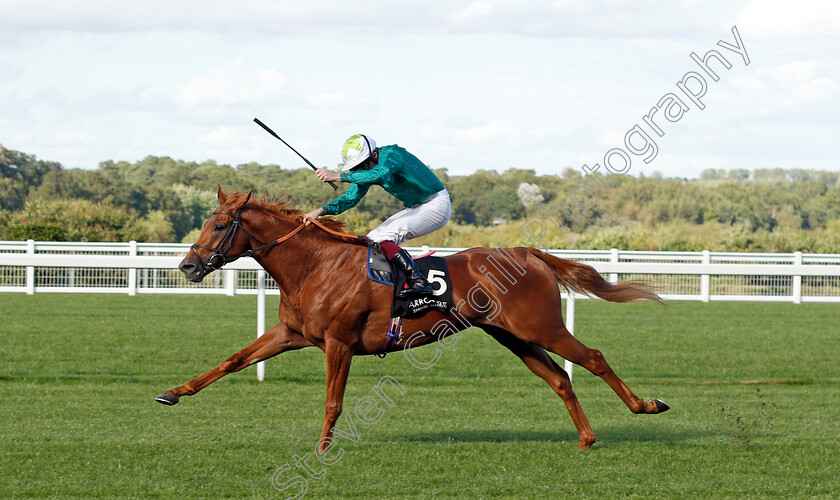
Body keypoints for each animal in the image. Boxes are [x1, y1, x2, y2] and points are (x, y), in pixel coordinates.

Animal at [158, 189, 668, 452]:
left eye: (219, 225)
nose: (187, 266)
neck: (316, 264)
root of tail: (529, 252)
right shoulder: (291, 334)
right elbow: (232, 361)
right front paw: (173, 393)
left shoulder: (339, 342)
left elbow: (332, 402)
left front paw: (322, 448)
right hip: (513, 336)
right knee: (560, 378)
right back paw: (585, 438)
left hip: (541, 327)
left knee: (593, 358)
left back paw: (646, 405)